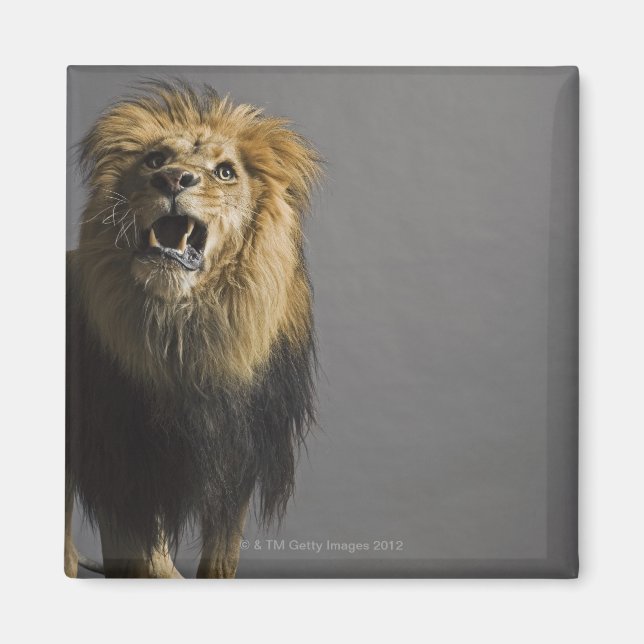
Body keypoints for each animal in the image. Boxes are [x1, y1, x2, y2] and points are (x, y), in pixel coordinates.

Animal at [66, 81, 321, 578]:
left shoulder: (235, 462)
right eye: (155, 161)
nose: (173, 180)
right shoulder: (119, 463)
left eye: (225, 172)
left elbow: (219, 562)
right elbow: (135, 557)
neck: (183, 335)